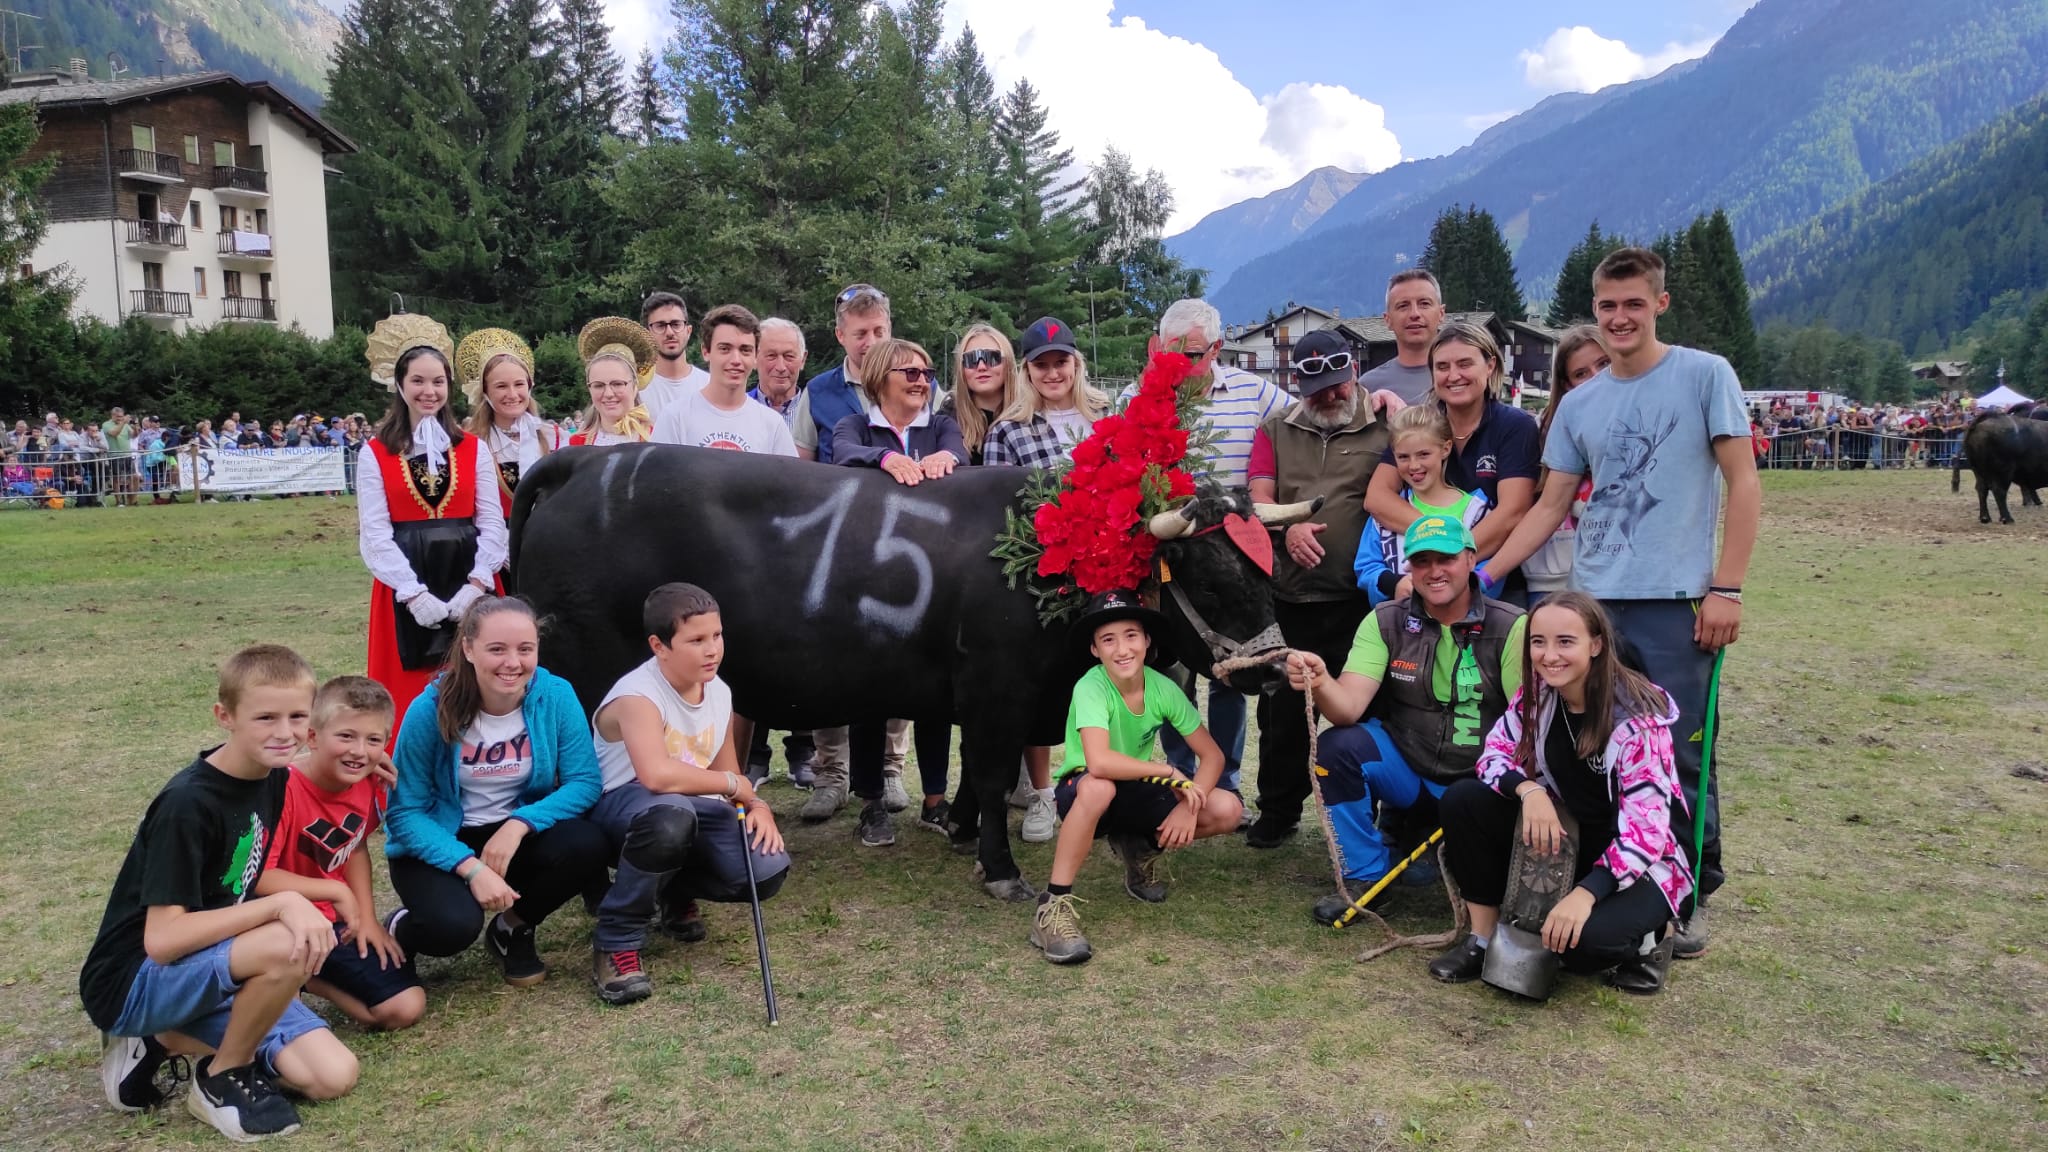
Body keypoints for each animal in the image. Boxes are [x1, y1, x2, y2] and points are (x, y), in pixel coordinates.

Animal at [512, 444, 1310, 893]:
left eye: (1265, 570)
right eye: (1211, 580)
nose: (1275, 672)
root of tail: (591, 459)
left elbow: (979, 781)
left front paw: (958, 829)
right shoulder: (996, 690)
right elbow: (989, 771)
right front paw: (999, 869)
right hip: (592, 685)